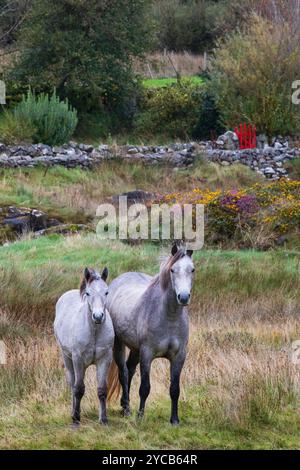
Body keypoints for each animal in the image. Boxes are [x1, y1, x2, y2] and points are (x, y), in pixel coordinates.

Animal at [53, 268, 115, 426]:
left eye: (107, 292)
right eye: (88, 293)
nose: (98, 316)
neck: (94, 331)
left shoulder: (104, 359)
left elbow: (102, 390)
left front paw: (103, 419)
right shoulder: (78, 359)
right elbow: (79, 389)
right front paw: (76, 418)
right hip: (67, 358)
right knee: (73, 384)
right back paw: (73, 412)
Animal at [106, 244, 196, 424]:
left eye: (192, 269)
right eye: (173, 270)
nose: (183, 297)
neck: (169, 317)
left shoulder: (179, 356)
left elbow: (174, 389)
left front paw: (174, 419)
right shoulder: (147, 354)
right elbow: (145, 388)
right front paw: (140, 416)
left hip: (135, 349)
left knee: (130, 369)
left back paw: (124, 405)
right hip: (119, 344)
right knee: (123, 372)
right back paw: (127, 410)